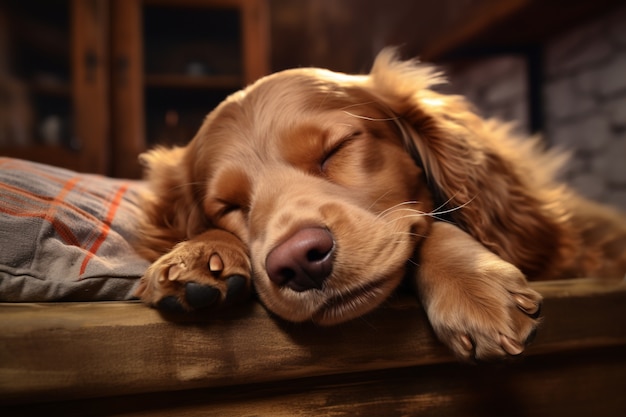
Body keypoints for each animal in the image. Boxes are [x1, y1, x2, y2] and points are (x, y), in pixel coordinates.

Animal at [133, 48, 624, 360]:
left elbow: (431, 223)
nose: (299, 261)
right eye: (229, 206)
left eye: (338, 148)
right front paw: (199, 255)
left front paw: (469, 285)